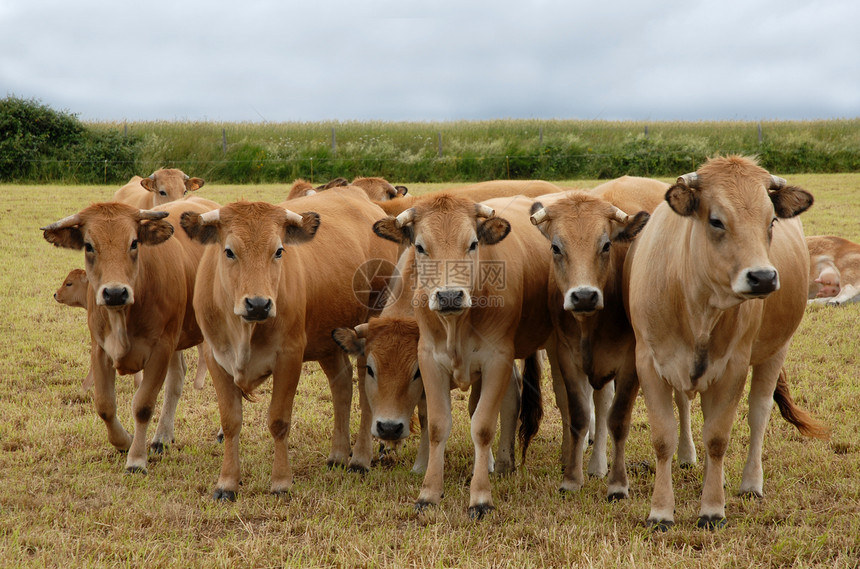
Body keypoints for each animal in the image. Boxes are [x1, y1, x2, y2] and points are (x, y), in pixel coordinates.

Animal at [40, 197, 217, 472]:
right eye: (89, 246)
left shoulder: (160, 349)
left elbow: (143, 405)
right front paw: (124, 441)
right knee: (176, 380)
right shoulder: (100, 349)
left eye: (134, 242)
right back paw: (162, 437)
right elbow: (104, 405)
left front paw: (136, 459)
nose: (114, 293)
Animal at [181, 185, 400, 496]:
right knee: (342, 387)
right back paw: (337, 454)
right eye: (229, 251)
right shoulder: (216, 358)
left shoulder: (289, 357)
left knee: (364, 395)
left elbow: (279, 421)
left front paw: (281, 481)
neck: (245, 329)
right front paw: (227, 482)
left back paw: (360, 457)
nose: (258, 304)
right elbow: (231, 421)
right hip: (328, 341)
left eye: (279, 251)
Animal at [372, 193, 556, 516]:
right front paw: (429, 492)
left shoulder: (496, 360)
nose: (449, 296)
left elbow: (482, 426)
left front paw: (480, 497)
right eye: (420, 246)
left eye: (472, 243)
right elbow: (436, 425)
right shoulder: (430, 361)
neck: (455, 325)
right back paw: (504, 462)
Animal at [620, 155, 828, 528]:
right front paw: (661, 510)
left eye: (771, 220)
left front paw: (712, 508)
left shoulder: (733, 367)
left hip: (775, 351)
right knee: (690, 406)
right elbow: (663, 438)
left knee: (758, 413)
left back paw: (749, 483)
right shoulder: (650, 363)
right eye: (716, 220)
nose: (763, 277)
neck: (697, 304)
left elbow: (717, 438)